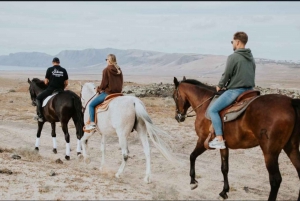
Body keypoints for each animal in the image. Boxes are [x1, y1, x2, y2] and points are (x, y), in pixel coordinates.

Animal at [172, 76, 300, 201]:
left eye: (174, 96)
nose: (178, 117)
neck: (205, 105)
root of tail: (290, 102)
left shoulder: (203, 140)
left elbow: (192, 156)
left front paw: (192, 181)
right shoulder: (223, 146)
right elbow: (224, 168)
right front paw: (224, 192)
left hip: (270, 153)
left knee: (275, 180)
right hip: (291, 148)